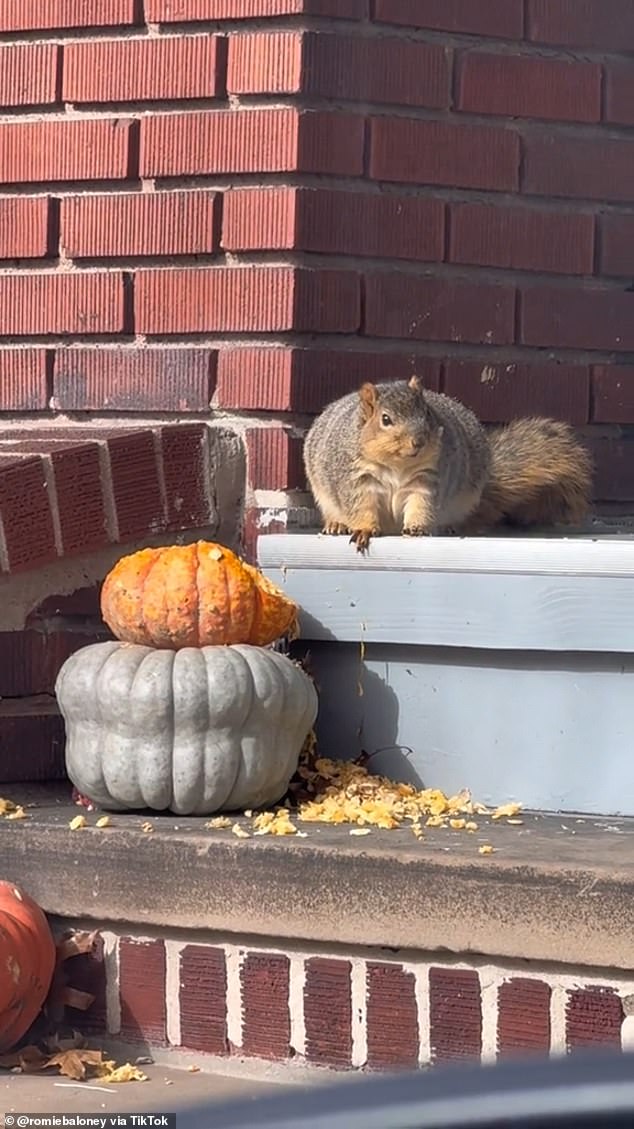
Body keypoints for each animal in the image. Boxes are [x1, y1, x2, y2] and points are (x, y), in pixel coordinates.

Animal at [304, 377, 591, 553]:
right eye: (385, 419)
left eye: (427, 413)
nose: (418, 441)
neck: (398, 465)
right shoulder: (357, 479)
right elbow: (361, 506)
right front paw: (363, 529)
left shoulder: (427, 479)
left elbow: (421, 503)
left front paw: (417, 528)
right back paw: (336, 524)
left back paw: (450, 526)